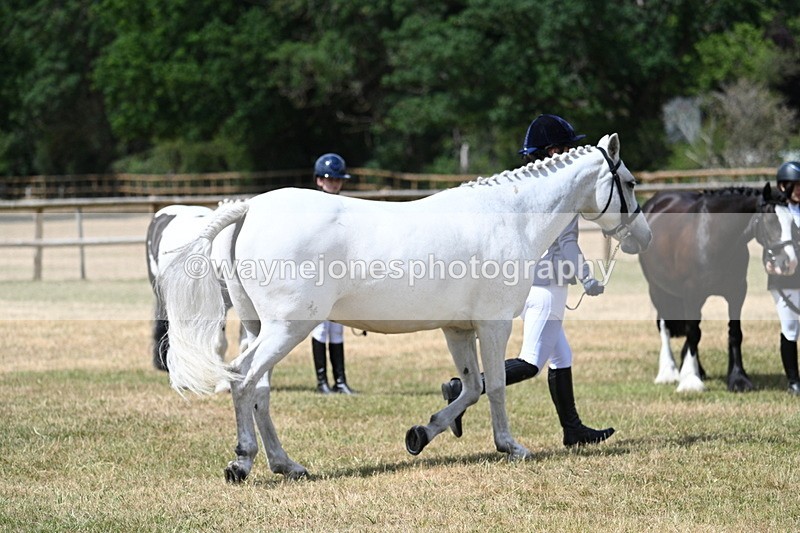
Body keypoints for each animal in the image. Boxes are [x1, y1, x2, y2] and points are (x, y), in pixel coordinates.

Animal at [157, 134, 652, 482]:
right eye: (629, 183)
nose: (643, 238)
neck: (507, 217)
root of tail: (250, 209)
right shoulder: (492, 325)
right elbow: (495, 386)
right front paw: (510, 446)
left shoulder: (457, 329)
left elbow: (471, 386)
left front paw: (421, 434)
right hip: (288, 328)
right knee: (243, 379)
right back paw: (242, 463)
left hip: (262, 328)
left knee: (258, 388)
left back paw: (286, 464)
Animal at [637, 184, 797, 393]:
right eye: (771, 220)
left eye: (792, 221)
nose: (790, 262)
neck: (714, 236)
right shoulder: (692, 294)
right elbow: (693, 333)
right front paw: (690, 381)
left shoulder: (737, 293)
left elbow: (734, 333)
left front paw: (738, 378)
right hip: (658, 289)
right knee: (664, 326)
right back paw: (668, 372)